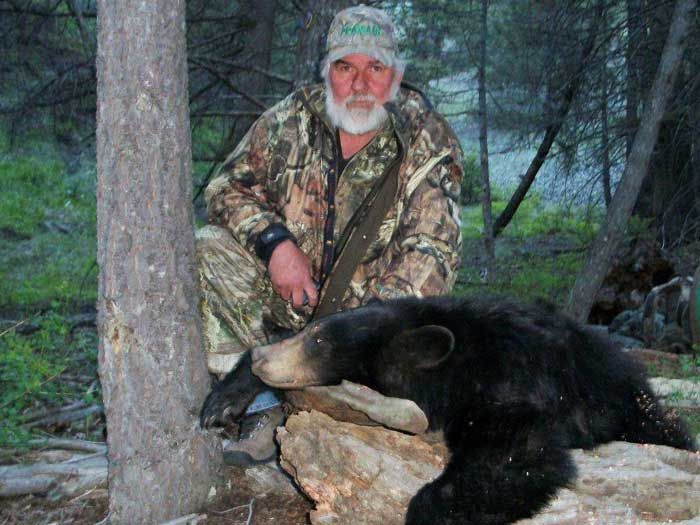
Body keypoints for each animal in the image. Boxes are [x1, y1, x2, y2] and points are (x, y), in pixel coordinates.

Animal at [200, 296, 695, 525]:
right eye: (310, 328)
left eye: (320, 342)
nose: (264, 358)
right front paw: (225, 396)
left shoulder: (507, 386)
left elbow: (520, 455)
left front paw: (428, 508)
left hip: (635, 409)